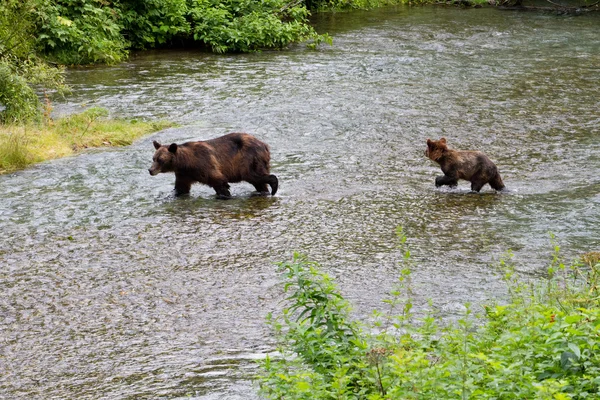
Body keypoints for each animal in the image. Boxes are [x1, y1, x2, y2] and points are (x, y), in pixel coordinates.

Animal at [150, 133, 282, 198]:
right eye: (153, 158)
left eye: (160, 160)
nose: (150, 170)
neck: (186, 163)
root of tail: (265, 145)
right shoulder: (184, 174)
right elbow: (181, 188)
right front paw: (172, 195)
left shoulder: (204, 164)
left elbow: (219, 181)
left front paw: (225, 195)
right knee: (257, 181)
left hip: (248, 158)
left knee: (253, 175)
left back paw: (273, 187)